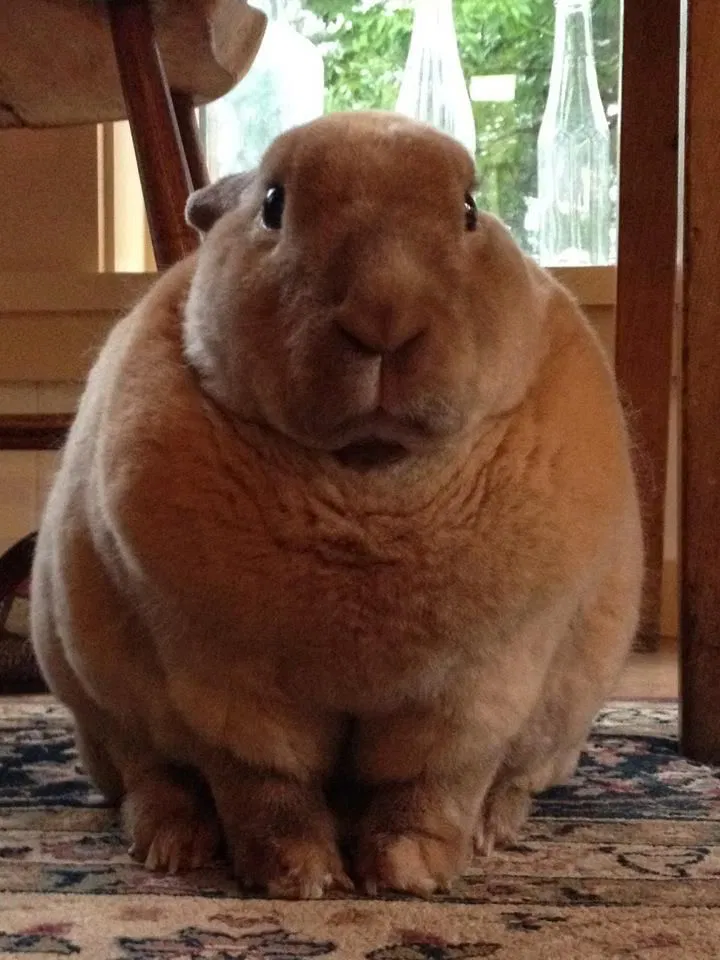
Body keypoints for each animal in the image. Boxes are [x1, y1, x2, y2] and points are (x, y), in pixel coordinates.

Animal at [31, 110, 643, 899]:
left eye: (469, 210)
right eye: (272, 206)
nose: (385, 318)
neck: (369, 486)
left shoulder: (474, 696)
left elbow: (433, 786)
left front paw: (408, 873)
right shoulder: (229, 695)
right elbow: (266, 788)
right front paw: (300, 877)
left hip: (555, 728)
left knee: (513, 780)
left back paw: (494, 828)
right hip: (103, 704)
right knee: (151, 777)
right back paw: (172, 844)